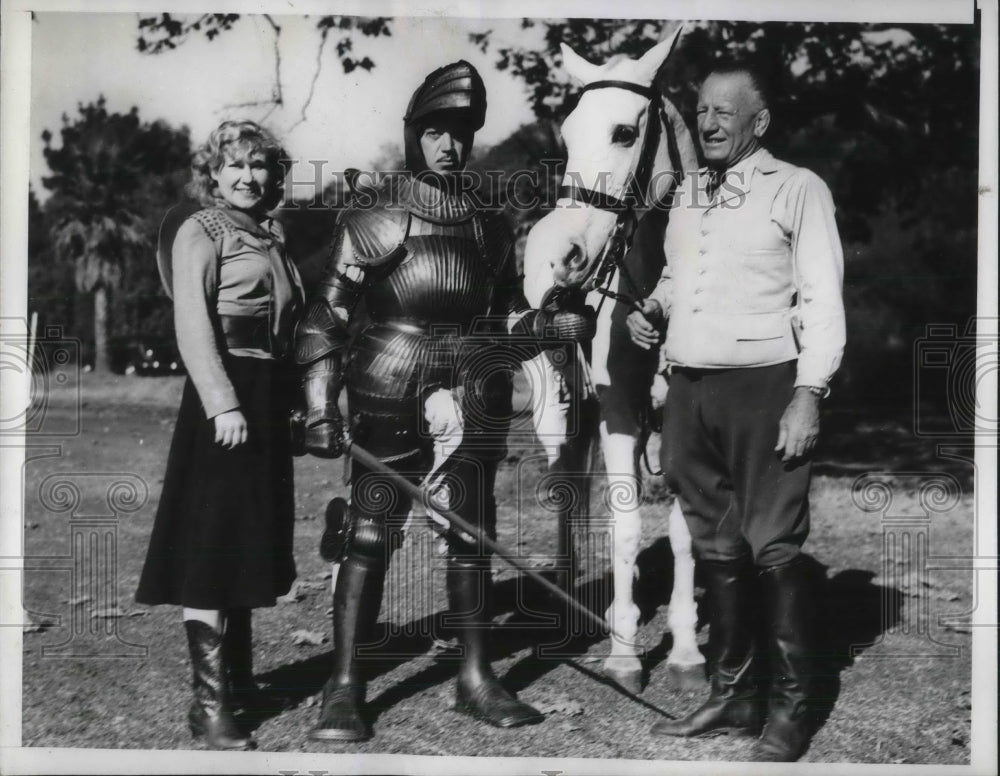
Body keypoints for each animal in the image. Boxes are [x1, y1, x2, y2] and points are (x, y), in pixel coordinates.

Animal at [520, 33, 708, 696]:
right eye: (568, 135)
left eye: (626, 132)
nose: (563, 258)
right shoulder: (620, 411)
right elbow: (624, 528)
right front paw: (626, 655)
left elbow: (684, 532)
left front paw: (685, 650)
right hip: (559, 416)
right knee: (566, 496)